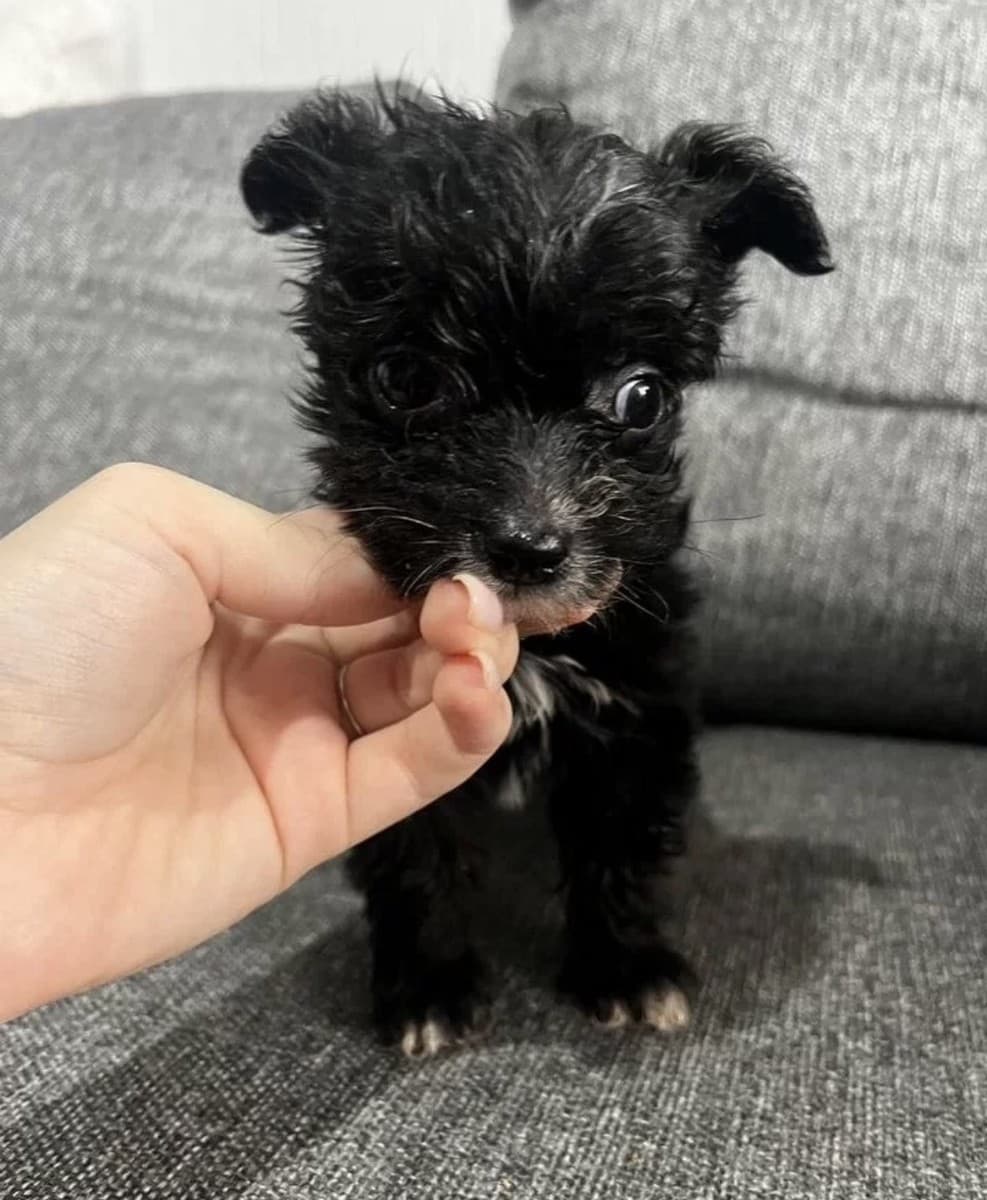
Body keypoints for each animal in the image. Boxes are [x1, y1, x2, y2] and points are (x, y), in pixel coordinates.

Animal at [241, 88, 832, 1056]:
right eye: (406, 379)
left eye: (641, 396)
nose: (528, 546)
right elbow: (416, 856)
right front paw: (430, 988)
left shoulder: (635, 711)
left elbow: (619, 848)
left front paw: (624, 970)